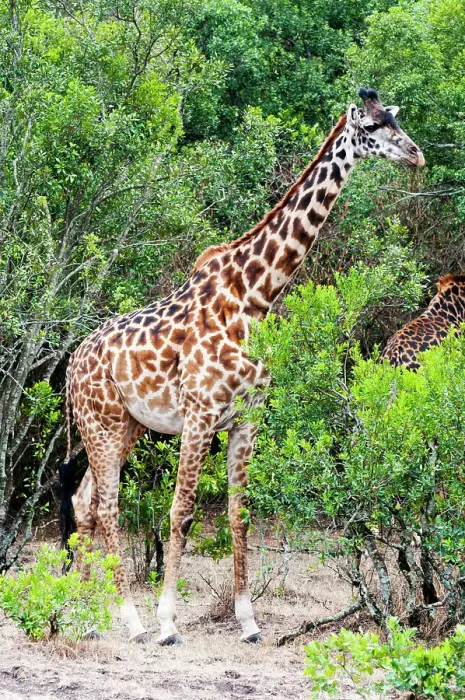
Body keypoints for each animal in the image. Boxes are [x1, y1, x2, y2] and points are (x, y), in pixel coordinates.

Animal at [60, 88, 424, 645]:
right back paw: (130, 619)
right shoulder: (199, 415)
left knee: (83, 501)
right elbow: (182, 512)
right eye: (372, 126)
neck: (256, 298)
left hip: (127, 426)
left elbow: (240, 514)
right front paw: (167, 622)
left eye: (395, 120)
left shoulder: (248, 416)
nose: (416, 155)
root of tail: (70, 366)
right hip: (100, 422)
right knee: (105, 505)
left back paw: (82, 607)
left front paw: (248, 621)